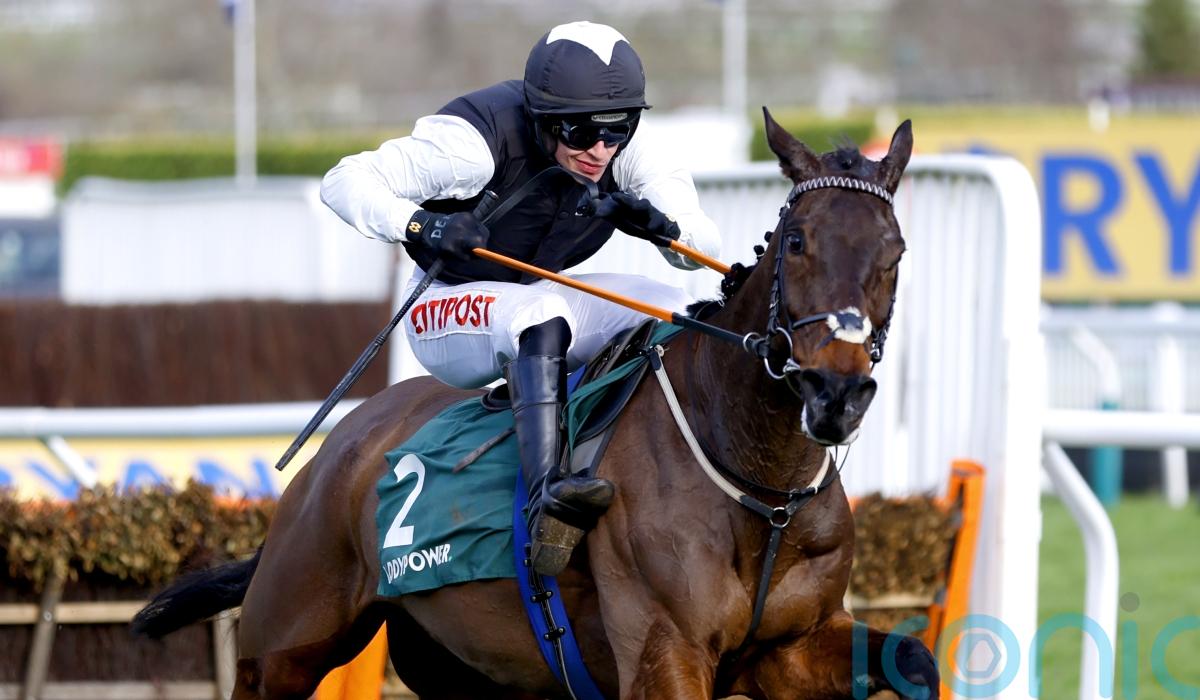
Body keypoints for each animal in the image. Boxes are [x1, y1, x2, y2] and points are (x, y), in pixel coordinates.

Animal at [133, 109, 937, 700]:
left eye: (895, 253)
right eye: (797, 241)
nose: (835, 392)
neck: (758, 490)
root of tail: (338, 449)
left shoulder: (795, 648)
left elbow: (917, 662)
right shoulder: (666, 653)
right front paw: (453, 228)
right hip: (282, 650)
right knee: (539, 316)